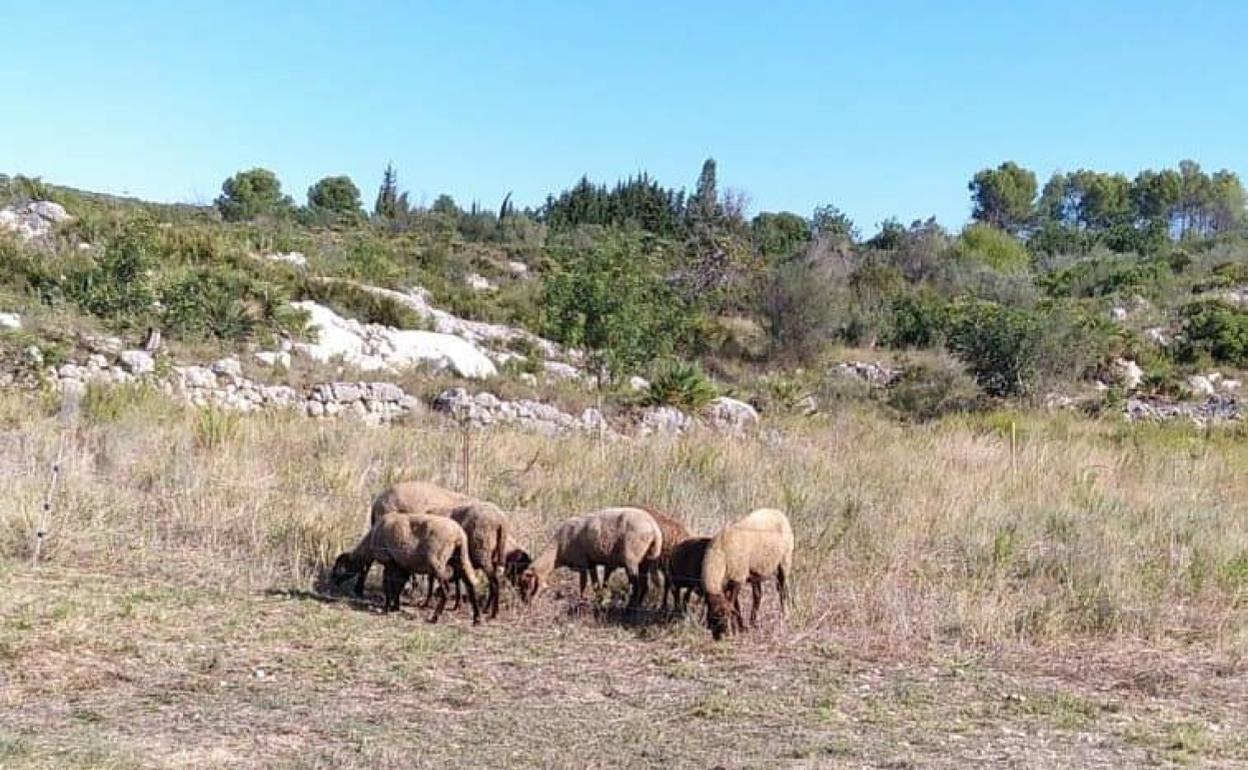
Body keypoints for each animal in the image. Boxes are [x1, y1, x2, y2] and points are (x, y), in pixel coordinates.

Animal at [329, 511, 479, 623]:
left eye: (339, 567)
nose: (332, 581)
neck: (370, 542)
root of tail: (459, 534)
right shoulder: (401, 566)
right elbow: (398, 585)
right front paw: (395, 606)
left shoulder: (389, 561)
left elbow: (388, 584)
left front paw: (387, 607)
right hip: (460, 559)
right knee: (471, 585)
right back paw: (477, 619)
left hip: (437, 562)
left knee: (446, 590)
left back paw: (435, 617)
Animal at [519, 506, 663, 609]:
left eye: (526, 583)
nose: (526, 602)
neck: (557, 551)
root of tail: (655, 529)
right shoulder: (591, 563)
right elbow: (595, 583)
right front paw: (599, 599)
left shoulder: (581, 562)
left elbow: (583, 583)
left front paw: (581, 600)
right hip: (647, 559)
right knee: (647, 585)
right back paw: (641, 606)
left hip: (631, 558)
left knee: (637, 586)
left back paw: (629, 608)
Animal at [698, 506, 793, 638]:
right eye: (712, 619)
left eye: (725, 617)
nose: (721, 637)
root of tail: (778, 512)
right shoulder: (728, 583)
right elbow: (735, 606)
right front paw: (740, 627)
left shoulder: (738, 578)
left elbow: (732, 605)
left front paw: (736, 628)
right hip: (756, 572)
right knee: (758, 595)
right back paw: (753, 622)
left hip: (785, 560)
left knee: (783, 591)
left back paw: (785, 616)